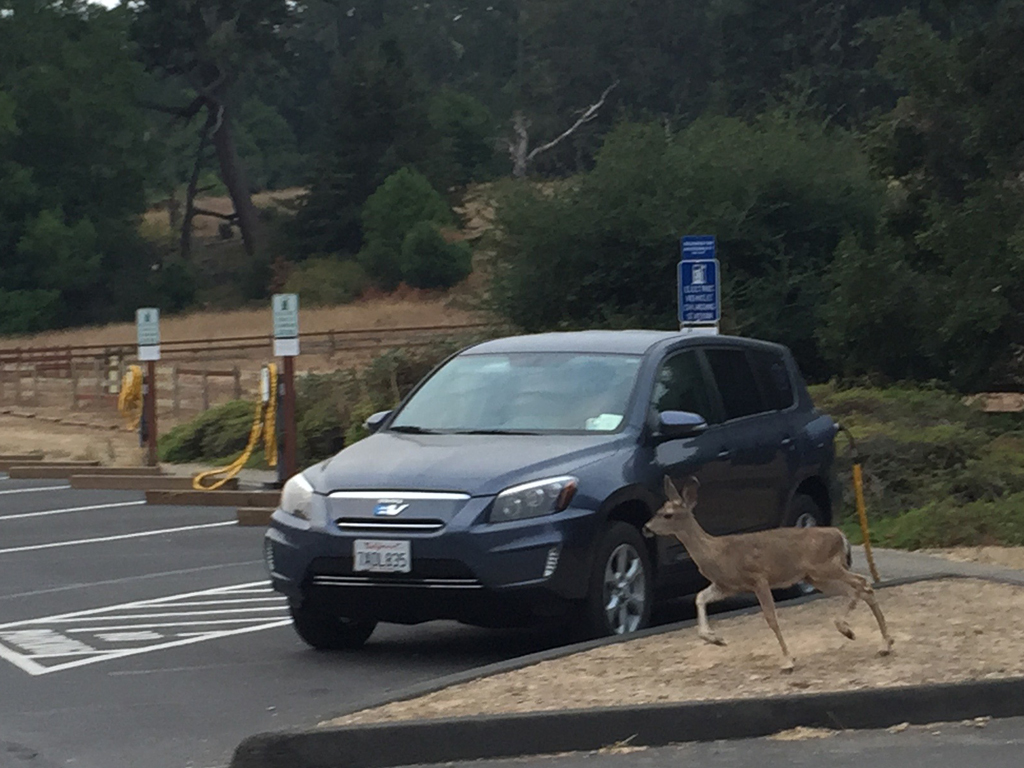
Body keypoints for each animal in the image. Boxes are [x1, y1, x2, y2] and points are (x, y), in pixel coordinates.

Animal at [647, 479, 897, 671]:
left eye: (667, 515)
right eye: (659, 510)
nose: (646, 527)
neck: (716, 552)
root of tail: (840, 535)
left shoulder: (758, 578)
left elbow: (771, 618)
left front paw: (788, 660)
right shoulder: (727, 585)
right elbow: (699, 598)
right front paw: (715, 639)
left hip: (825, 567)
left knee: (862, 583)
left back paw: (855, 631)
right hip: (816, 577)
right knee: (858, 589)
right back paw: (880, 642)